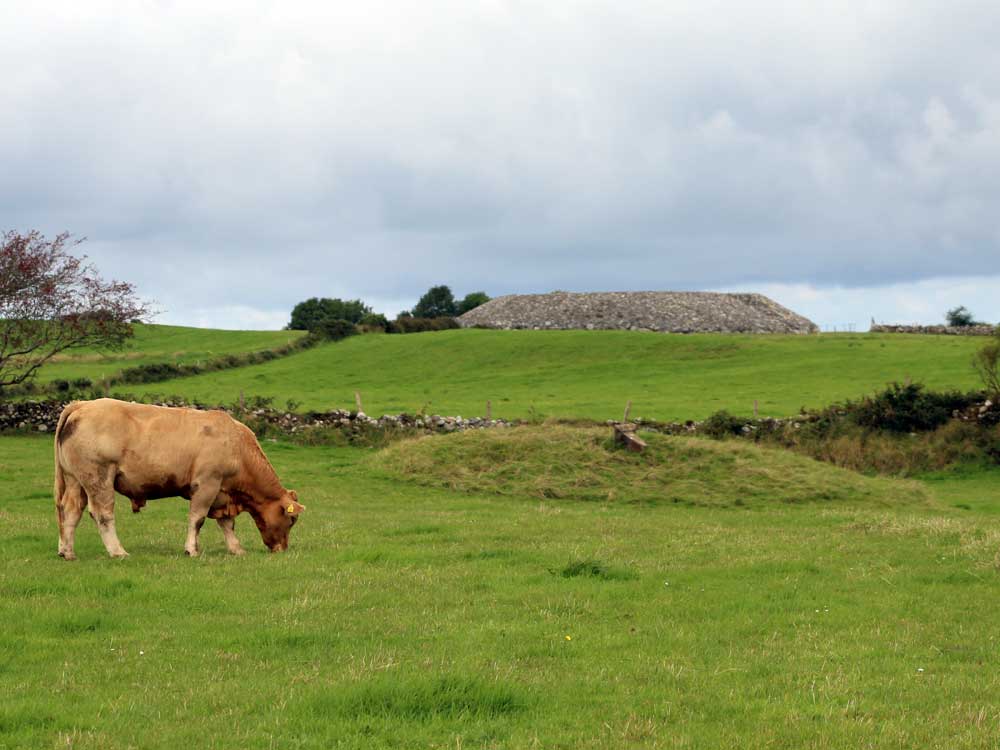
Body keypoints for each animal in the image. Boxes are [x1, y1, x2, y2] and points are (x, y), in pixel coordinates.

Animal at [52, 400, 302, 560]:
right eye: (291, 520)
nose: (282, 549)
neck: (236, 445)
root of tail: (82, 404)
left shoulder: (222, 493)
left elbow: (227, 524)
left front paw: (236, 549)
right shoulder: (207, 484)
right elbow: (197, 519)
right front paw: (191, 550)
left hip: (75, 480)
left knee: (70, 511)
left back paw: (67, 552)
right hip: (99, 476)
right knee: (102, 514)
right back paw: (117, 552)